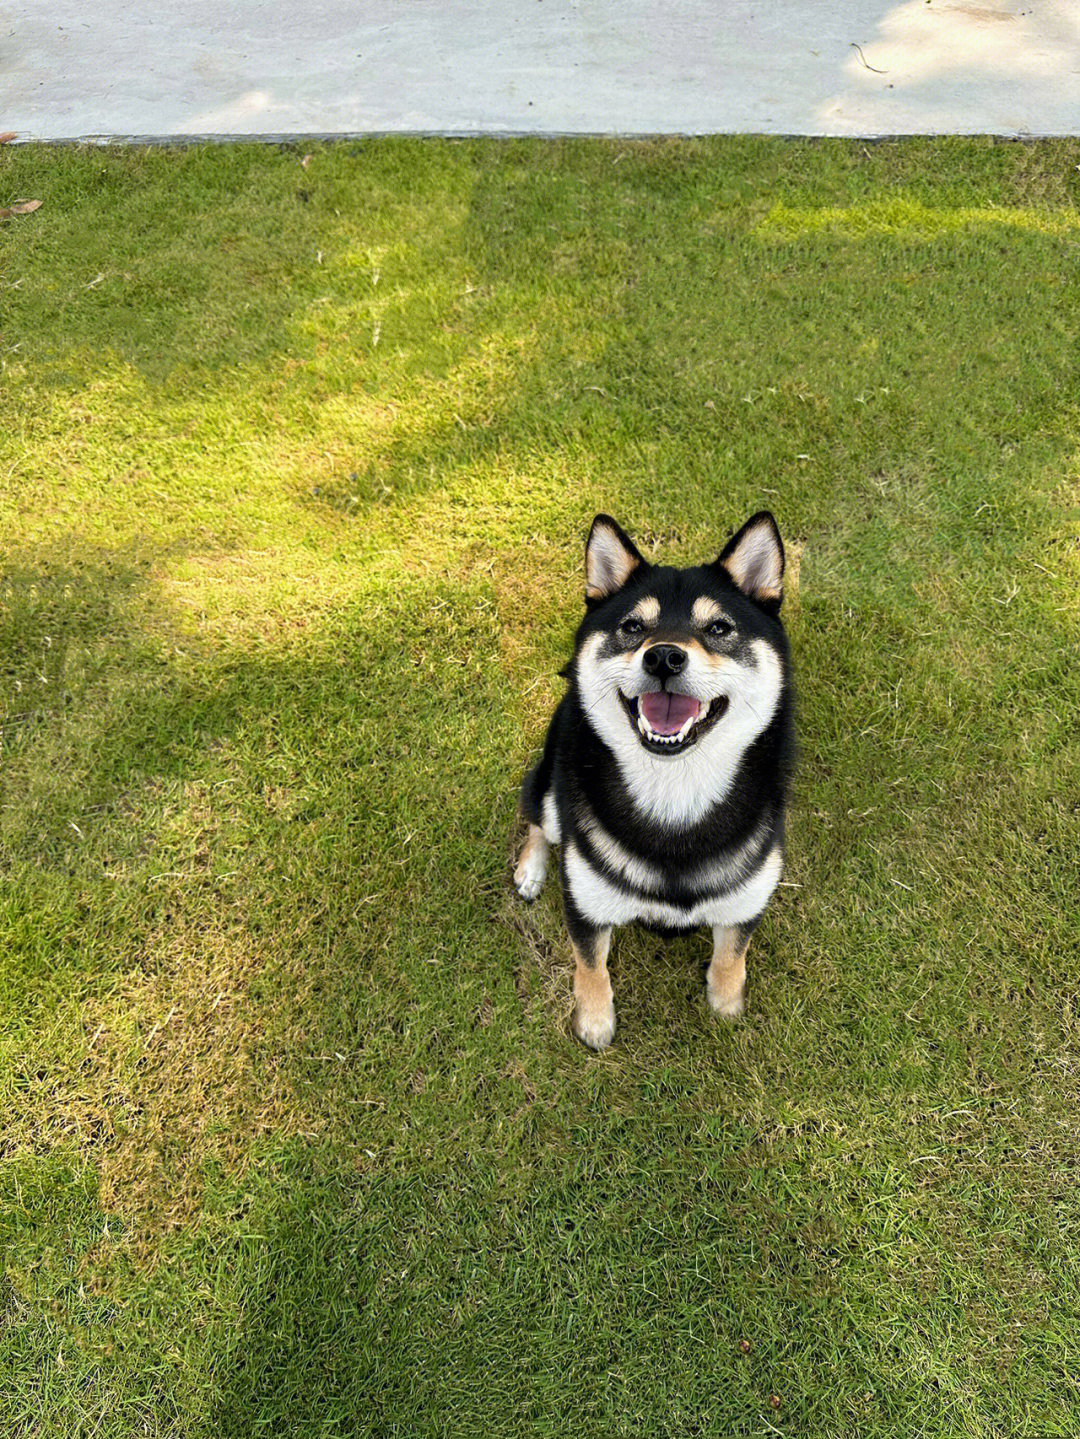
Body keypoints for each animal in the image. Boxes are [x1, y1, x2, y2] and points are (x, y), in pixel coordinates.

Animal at [514, 515, 793, 1047]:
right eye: (632, 627)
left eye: (719, 628)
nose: (663, 657)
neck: (674, 786)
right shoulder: (585, 903)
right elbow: (590, 966)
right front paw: (594, 1022)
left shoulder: (745, 900)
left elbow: (733, 955)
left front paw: (725, 1004)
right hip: (549, 788)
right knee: (539, 822)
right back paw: (530, 871)